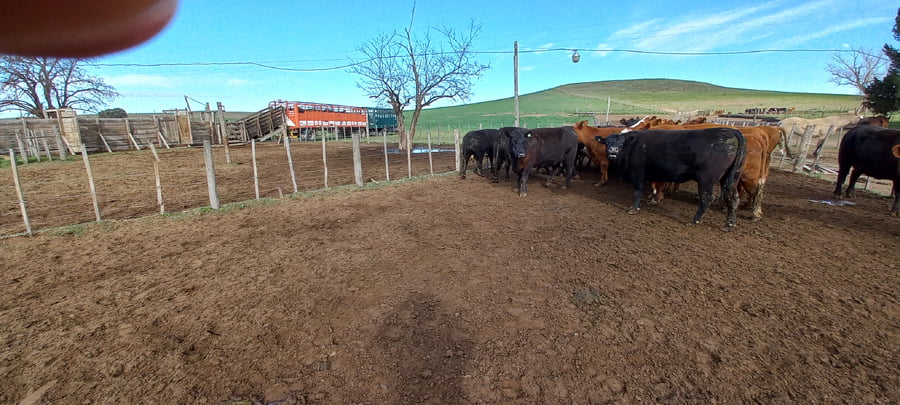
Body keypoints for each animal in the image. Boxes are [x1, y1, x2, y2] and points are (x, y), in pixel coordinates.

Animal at [596, 127, 747, 230]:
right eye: (607, 142)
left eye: (621, 143)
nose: (613, 151)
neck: (633, 145)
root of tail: (731, 131)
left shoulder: (638, 172)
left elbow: (638, 191)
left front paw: (634, 208)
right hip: (731, 178)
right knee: (733, 198)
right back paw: (729, 224)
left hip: (707, 179)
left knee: (707, 199)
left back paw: (694, 220)